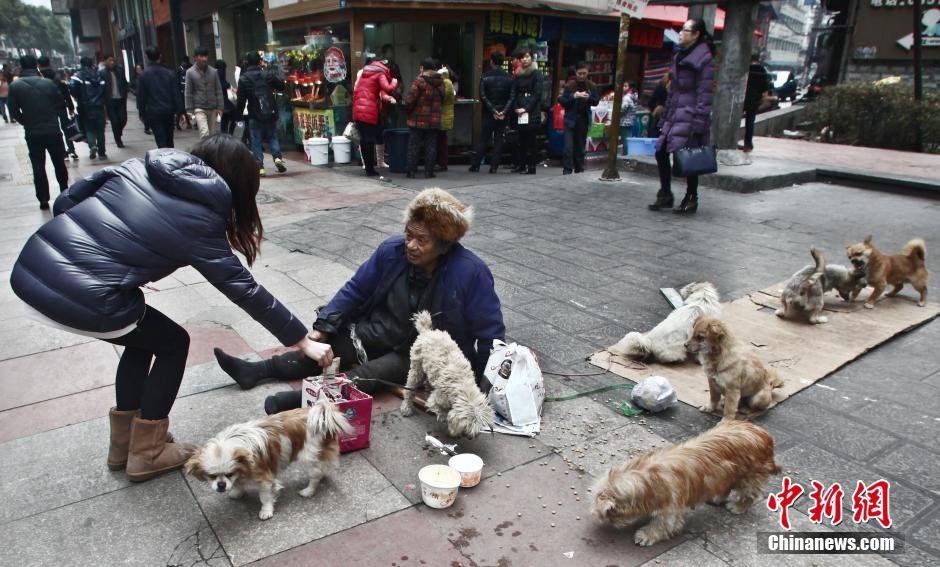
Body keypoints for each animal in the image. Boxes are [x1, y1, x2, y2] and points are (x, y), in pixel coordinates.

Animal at [185, 402, 352, 520]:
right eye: (212, 476)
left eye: (229, 473)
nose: (221, 485)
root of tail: (322, 418)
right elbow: (239, 484)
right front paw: (237, 491)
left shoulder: (264, 478)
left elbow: (265, 497)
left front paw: (266, 511)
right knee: (321, 469)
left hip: (308, 458)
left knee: (315, 475)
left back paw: (308, 491)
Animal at [400, 310, 496, 440]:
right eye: (467, 427)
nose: (470, 437)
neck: (463, 386)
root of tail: (427, 331)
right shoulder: (438, 399)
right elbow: (441, 411)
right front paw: (449, 424)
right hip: (416, 368)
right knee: (409, 389)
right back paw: (406, 407)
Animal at [592, 422, 784, 544]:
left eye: (611, 513)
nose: (610, 523)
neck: (648, 478)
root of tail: (764, 435)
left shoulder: (671, 507)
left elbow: (663, 524)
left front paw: (646, 535)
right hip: (727, 473)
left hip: (750, 477)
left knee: (749, 494)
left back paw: (738, 507)